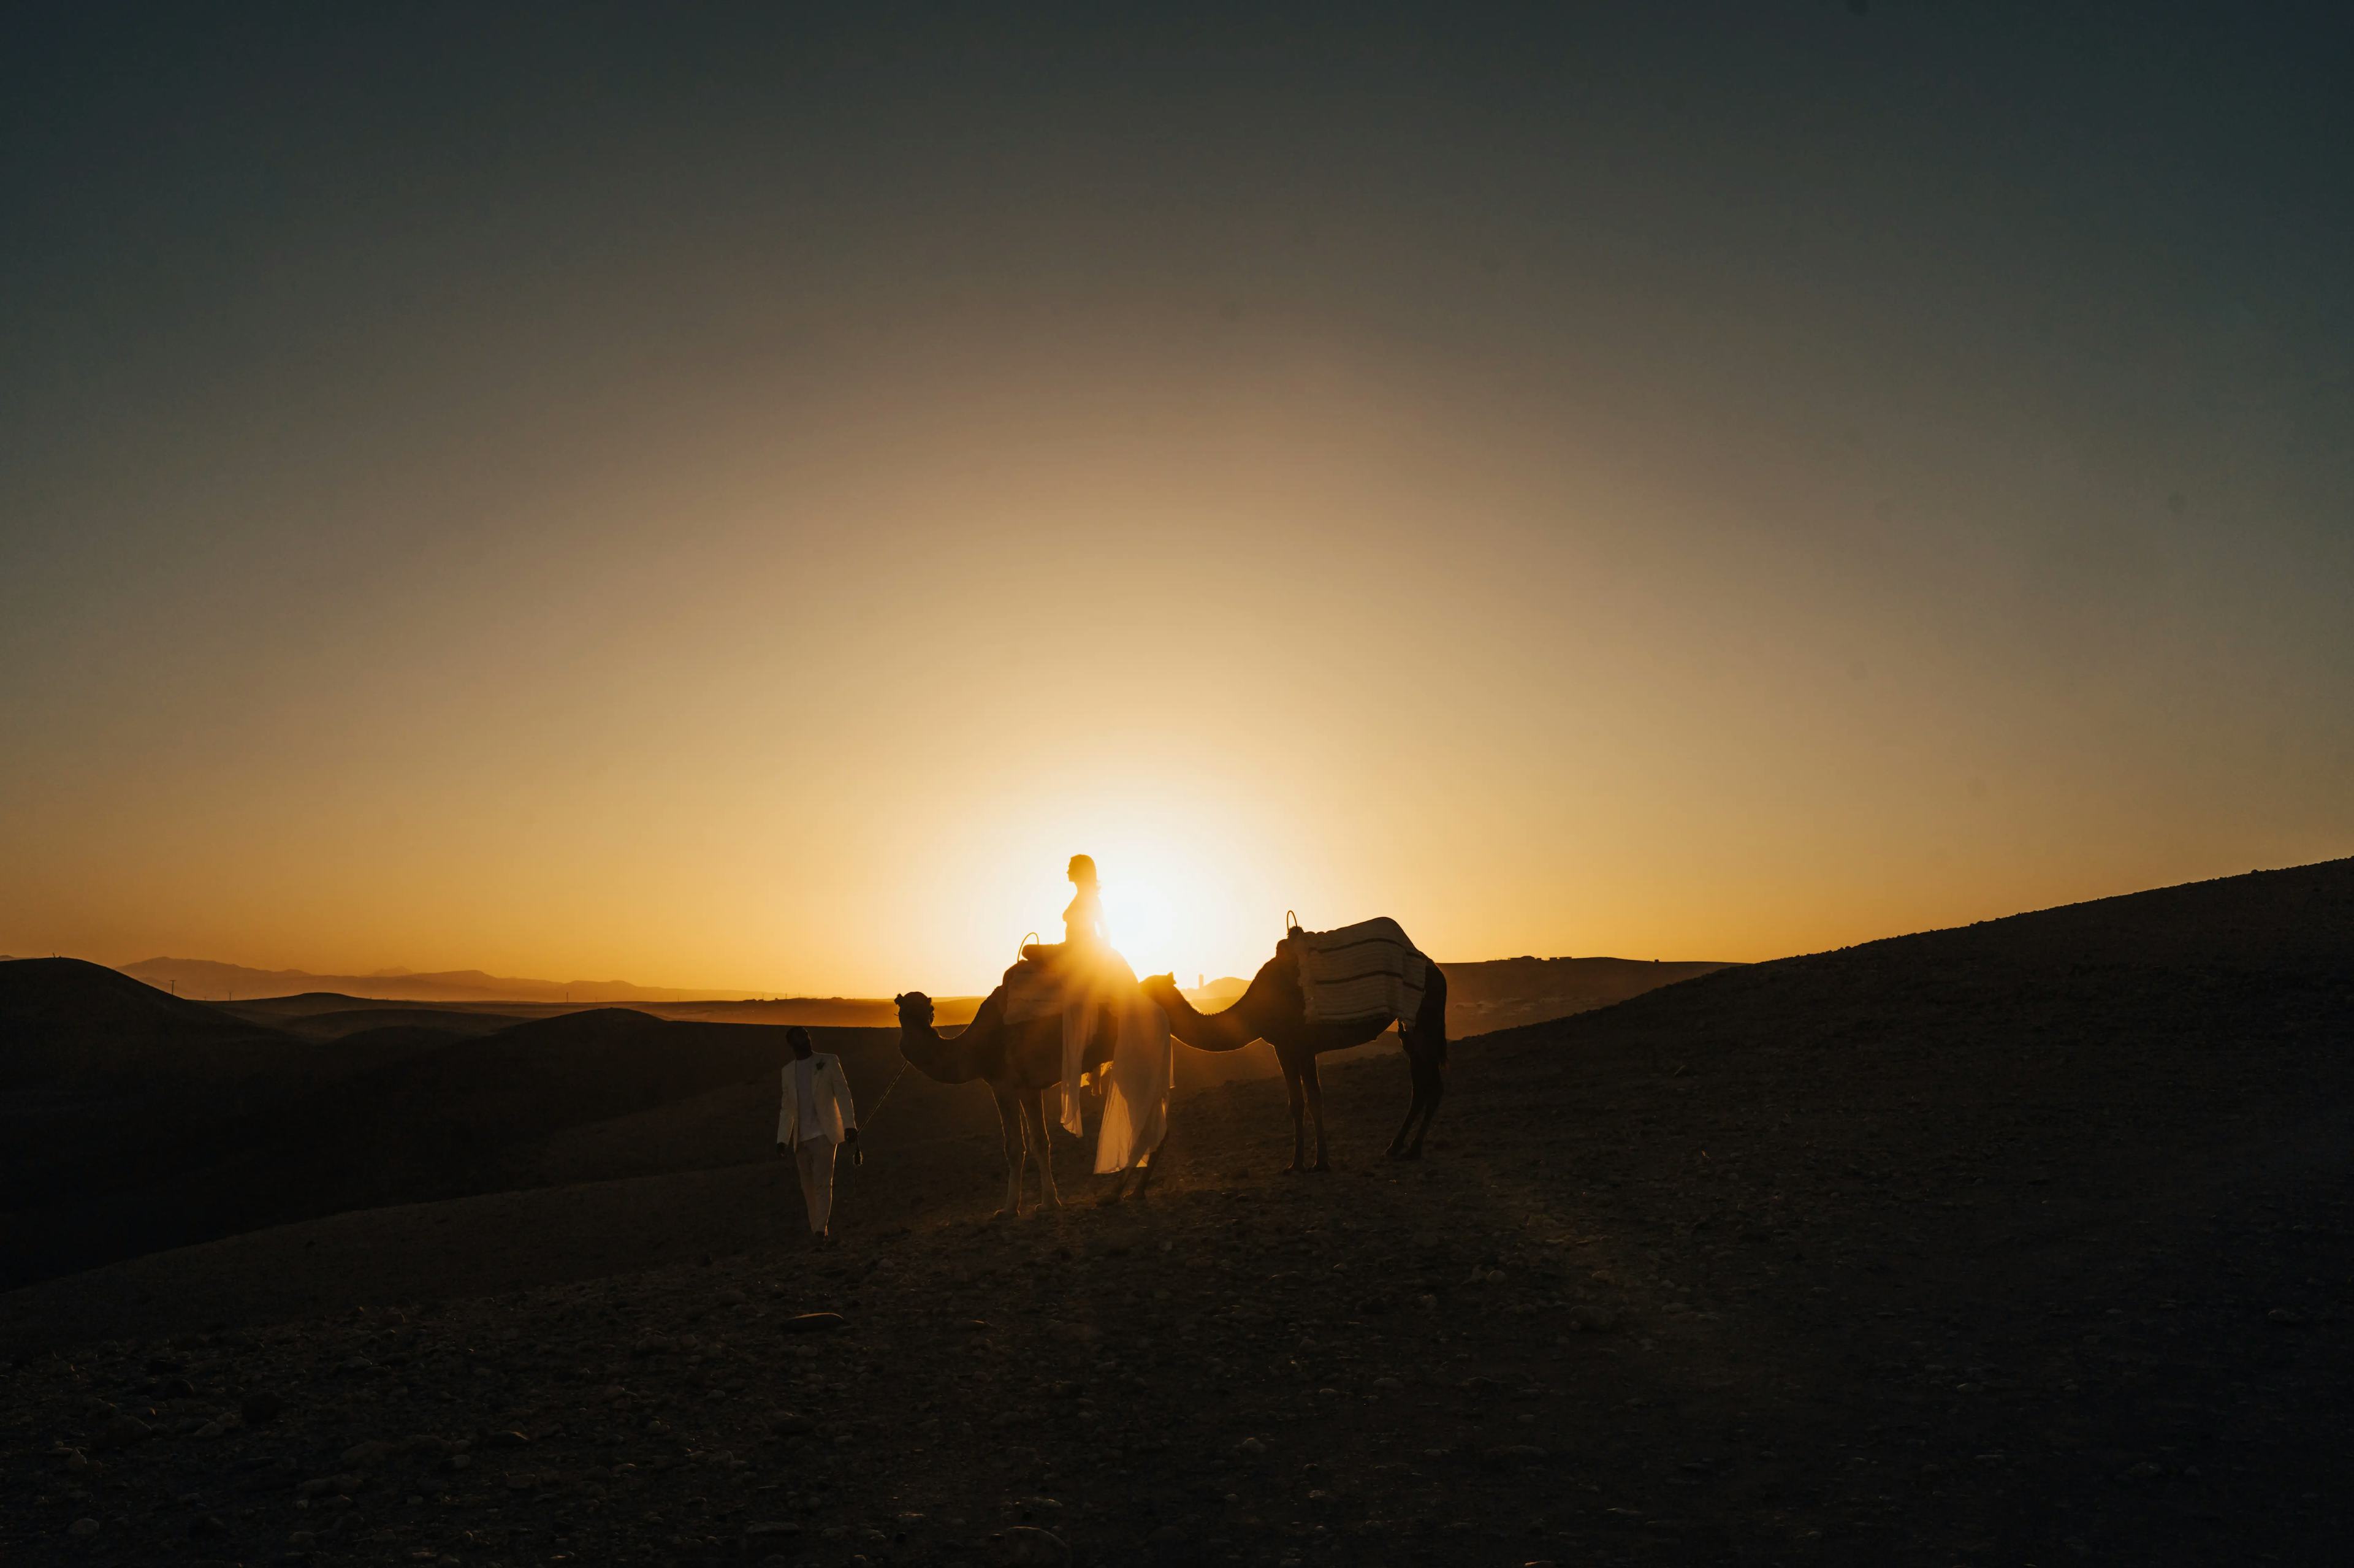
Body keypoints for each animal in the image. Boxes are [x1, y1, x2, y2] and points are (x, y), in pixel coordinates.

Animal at [894, 984, 1162, 1214]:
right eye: (901, 1012)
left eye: (930, 1010)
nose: (908, 1043)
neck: (976, 1048)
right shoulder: (1029, 1088)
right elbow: (1039, 1141)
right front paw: (1048, 1202)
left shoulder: (1005, 1085)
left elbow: (1015, 1146)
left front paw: (1010, 1208)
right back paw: (1133, 1191)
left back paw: (1125, 1192)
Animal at [1134, 942, 1441, 1172]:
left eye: (1146, 989)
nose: (1129, 1000)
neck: (1256, 1008)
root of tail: (1437, 970)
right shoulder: (1283, 1048)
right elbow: (1296, 1103)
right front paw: (1295, 1164)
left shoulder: (1303, 1046)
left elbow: (1315, 1100)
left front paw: (1321, 1162)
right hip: (1409, 1031)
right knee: (1421, 1085)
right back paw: (1395, 1147)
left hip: (1426, 1020)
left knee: (1434, 1084)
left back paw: (1414, 1149)